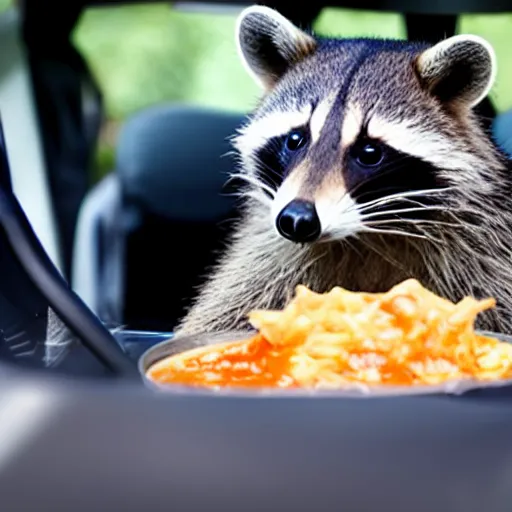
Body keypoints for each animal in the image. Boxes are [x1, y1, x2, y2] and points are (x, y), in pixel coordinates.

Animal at [175, 6, 512, 338]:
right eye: (295, 140)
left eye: (369, 153)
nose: (296, 220)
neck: (362, 236)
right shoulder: (268, 260)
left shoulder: (481, 254)